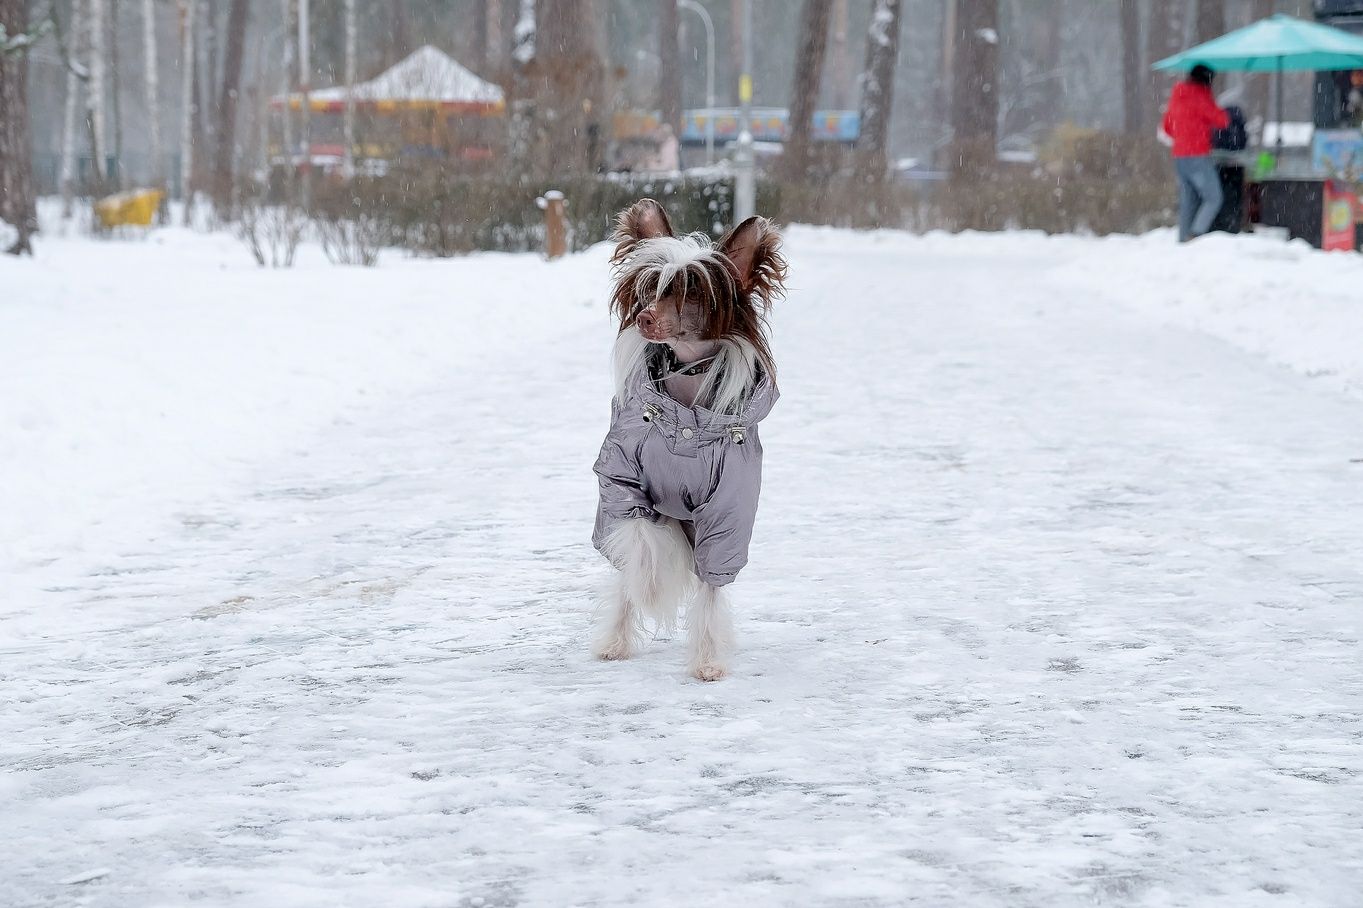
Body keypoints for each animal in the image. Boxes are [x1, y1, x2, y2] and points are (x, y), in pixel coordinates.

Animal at [588, 197, 790, 678]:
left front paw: (708, 660)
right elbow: (641, 539)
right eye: (649, 289)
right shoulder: (621, 483)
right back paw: (617, 638)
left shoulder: (728, 510)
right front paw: (650, 585)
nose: (644, 318)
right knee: (628, 568)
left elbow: (712, 584)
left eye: (693, 292)